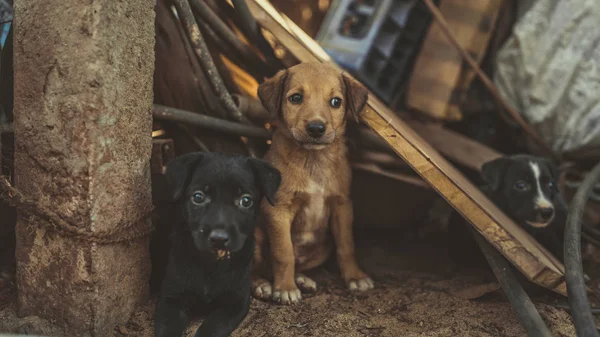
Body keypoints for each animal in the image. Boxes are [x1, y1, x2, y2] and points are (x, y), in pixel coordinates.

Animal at [157, 152, 284, 336]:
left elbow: (212, 327)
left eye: (246, 201)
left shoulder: (235, 304)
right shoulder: (170, 299)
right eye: (198, 197)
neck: (211, 263)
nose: (218, 238)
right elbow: (167, 329)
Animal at [251, 61, 372, 304]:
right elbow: (284, 252)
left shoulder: (342, 205)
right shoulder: (278, 209)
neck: (313, 158)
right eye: (296, 98)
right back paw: (262, 285)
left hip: (323, 247)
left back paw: (302, 279)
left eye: (336, 102)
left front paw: (355, 277)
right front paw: (285, 289)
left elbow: (347, 246)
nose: (316, 128)